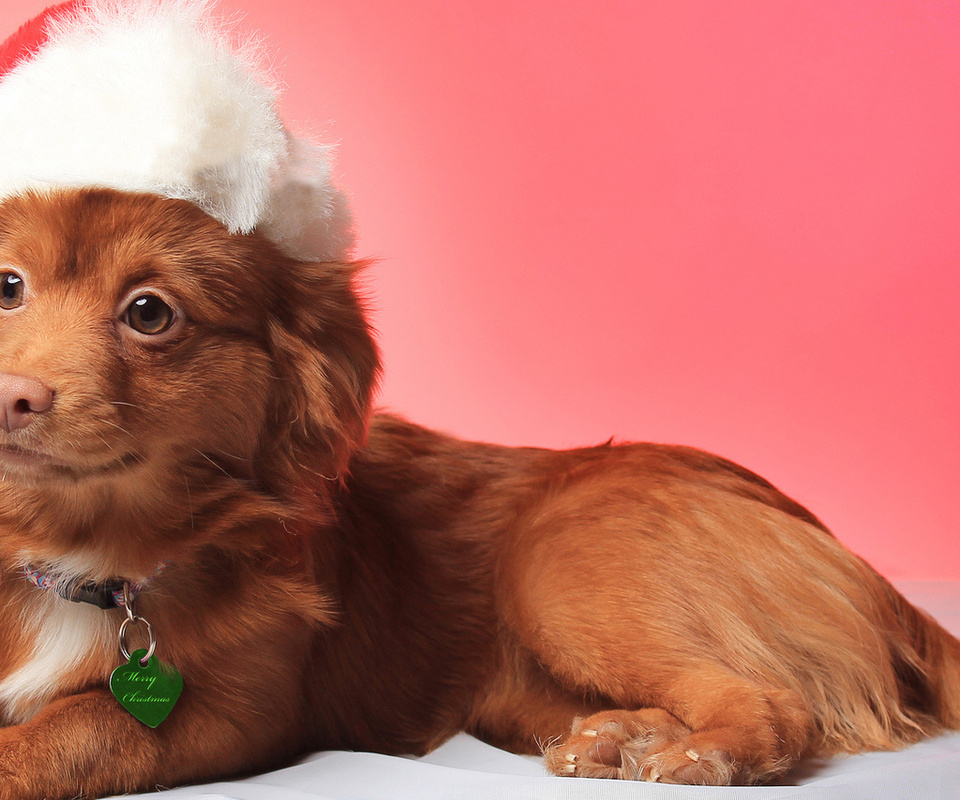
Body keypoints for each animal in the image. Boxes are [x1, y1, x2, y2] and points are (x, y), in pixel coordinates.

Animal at [0, 188, 952, 800]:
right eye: (9, 286)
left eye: (150, 312)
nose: (15, 395)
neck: (79, 554)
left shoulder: (238, 712)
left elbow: (84, 725)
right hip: (518, 688)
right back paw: (620, 737)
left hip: (560, 567)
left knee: (776, 700)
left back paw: (701, 754)